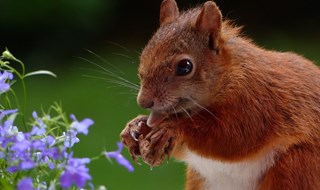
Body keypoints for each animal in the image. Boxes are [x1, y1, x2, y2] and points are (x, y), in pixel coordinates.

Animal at [119, 0, 320, 189]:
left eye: (185, 67)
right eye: (144, 55)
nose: (144, 102)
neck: (230, 75)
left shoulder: (258, 102)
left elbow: (232, 136)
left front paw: (173, 127)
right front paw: (136, 126)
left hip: (296, 165)